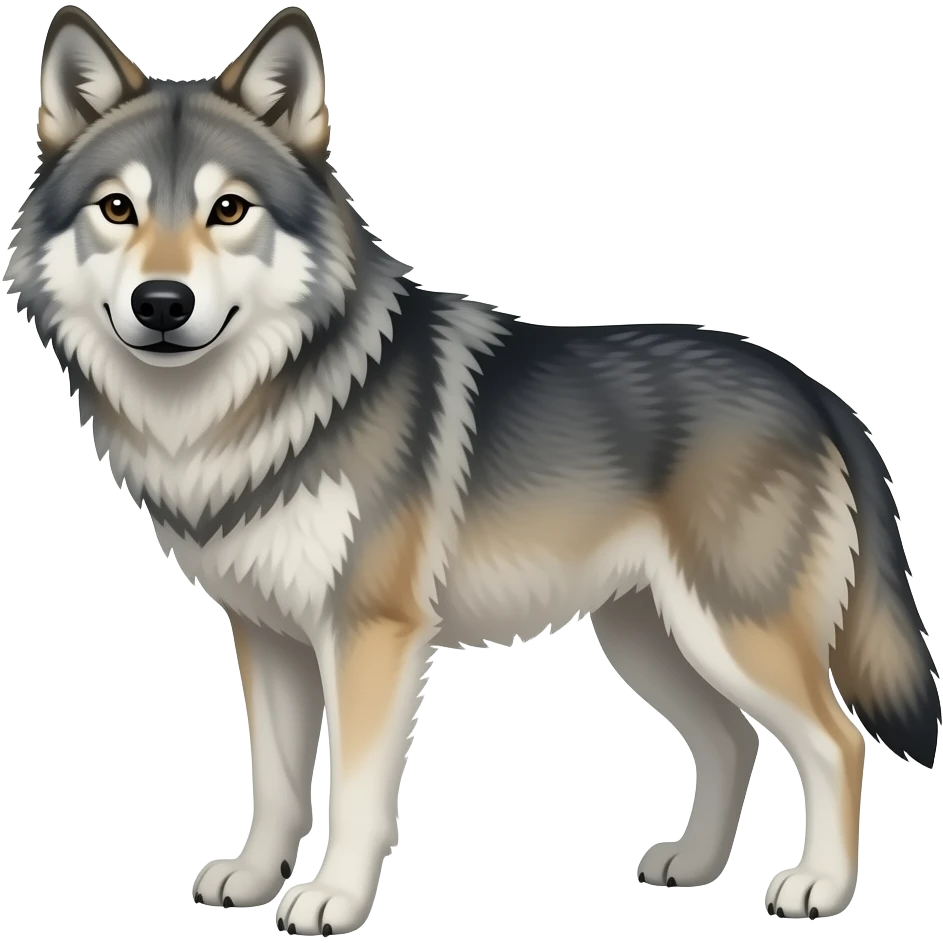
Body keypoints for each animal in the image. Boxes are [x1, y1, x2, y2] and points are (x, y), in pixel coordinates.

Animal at [5, 4, 939, 935]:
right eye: (117, 208)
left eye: (228, 208)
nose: (162, 304)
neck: (251, 410)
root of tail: (813, 389)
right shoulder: (267, 634)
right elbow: (274, 779)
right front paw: (254, 875)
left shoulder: (370, 633)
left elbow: (354, 789)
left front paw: (333, 898)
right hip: (649, 637)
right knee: (731, 738)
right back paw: (694, 865)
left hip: (730, 631)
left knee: (835, 740)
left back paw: (818, 885)